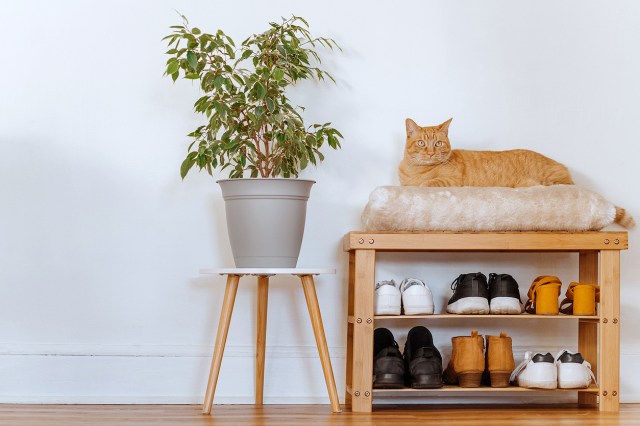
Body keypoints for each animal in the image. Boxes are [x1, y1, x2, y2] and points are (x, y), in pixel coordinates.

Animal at [398, 119, 572, 187]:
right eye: (421, 143)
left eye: (438, 143)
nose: (431, 153)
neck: (416, 171)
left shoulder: (452, 181)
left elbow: (428, 183)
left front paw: (422, 184)